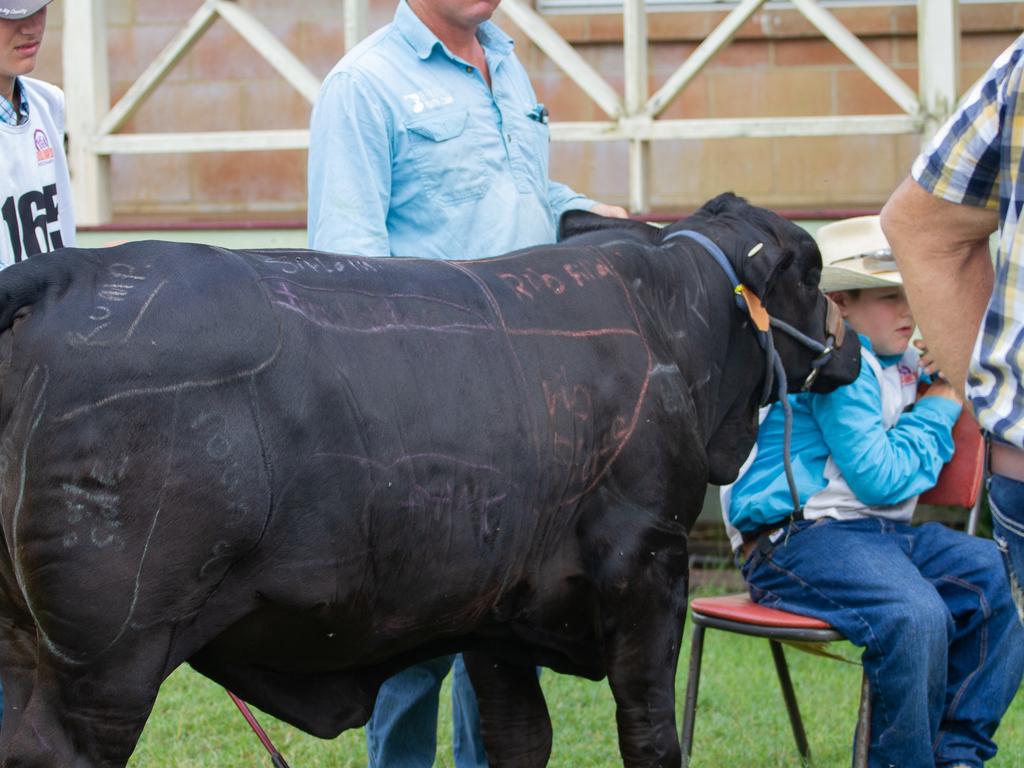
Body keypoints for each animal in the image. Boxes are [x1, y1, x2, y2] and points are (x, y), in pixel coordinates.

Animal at [0, 192, 856, 765]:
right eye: (814, 269)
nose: (851, 348)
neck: (671, 326)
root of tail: (74, 271)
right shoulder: (649, 570)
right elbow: (649, 732)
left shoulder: (499, 616)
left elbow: (521, 737)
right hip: (106, 663)